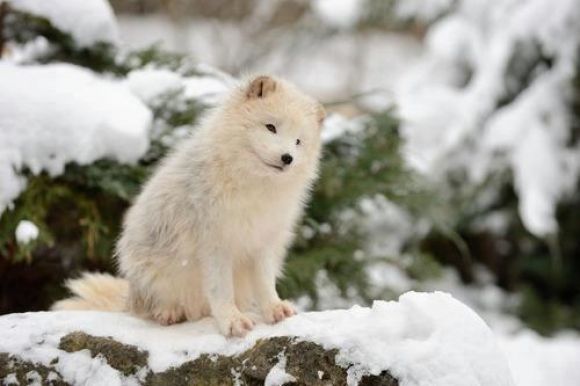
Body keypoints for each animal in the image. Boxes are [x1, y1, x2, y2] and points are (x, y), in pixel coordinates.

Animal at [52, 74, 326, 334]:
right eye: (271, 127)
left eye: (299, 141)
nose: (288, 158)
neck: (253, 187)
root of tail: (130, 297)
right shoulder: (215, 244)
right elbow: (220, 290)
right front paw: (232, 321)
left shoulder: (263, 242)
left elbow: (265, 283)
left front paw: (274, 308)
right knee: (152, 309)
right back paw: (168, 313)